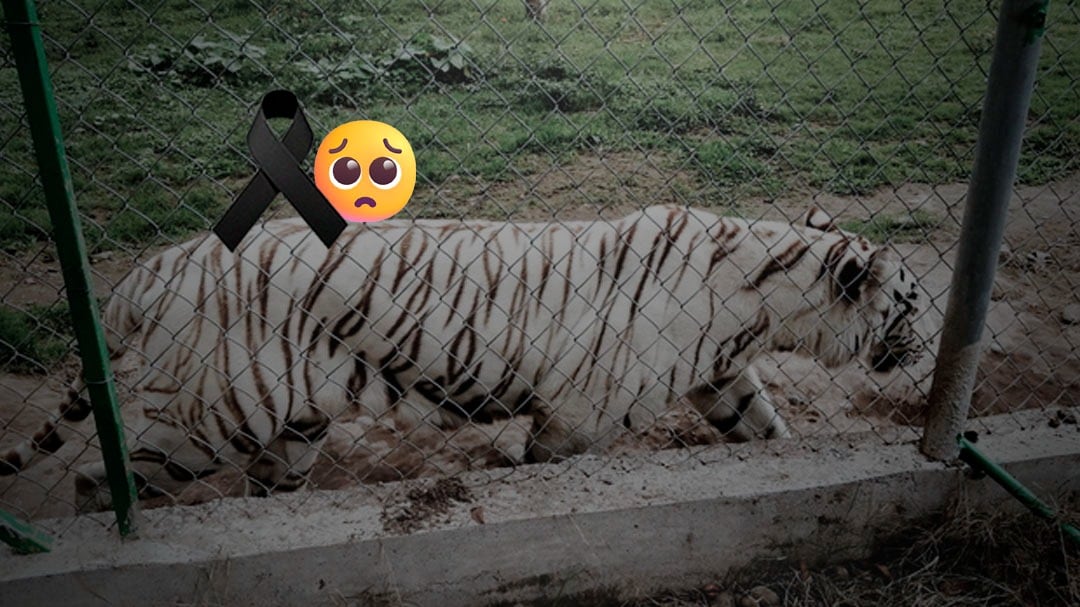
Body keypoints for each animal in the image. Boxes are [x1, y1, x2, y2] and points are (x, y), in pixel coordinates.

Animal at [1, 205, 924, 506]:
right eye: (912, 303)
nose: (921, 345)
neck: (763, 298)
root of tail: (152, 269)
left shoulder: (721, 374)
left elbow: (767, 430)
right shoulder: (581, 414)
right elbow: (543, 466)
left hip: (286, 426)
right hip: (208, 418)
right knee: (98, 482)